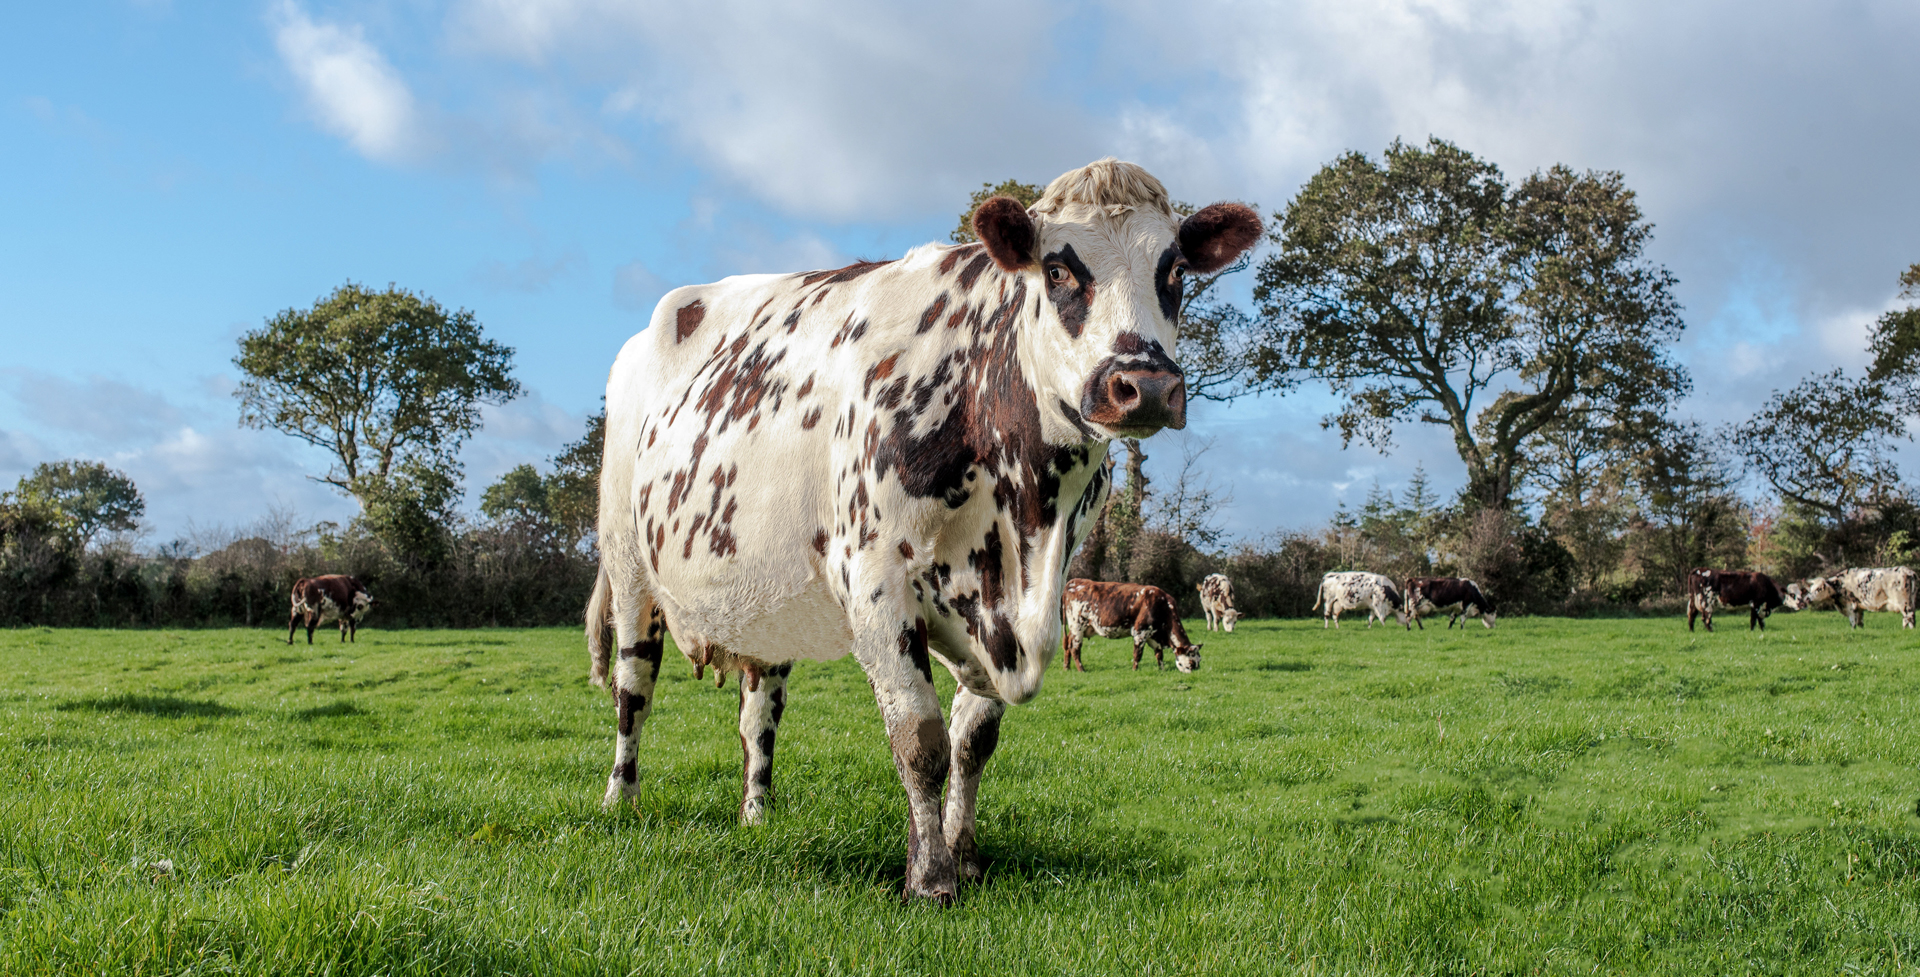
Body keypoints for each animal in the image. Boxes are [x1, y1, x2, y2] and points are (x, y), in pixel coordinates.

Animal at [1061, 578, 1202, 672]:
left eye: (1199, 661)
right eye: (1190, 663)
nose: (1196, 672)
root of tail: (1075, 581)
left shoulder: (1153, 635)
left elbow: (1159, 653)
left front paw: (1161, 669)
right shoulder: (1140, 632)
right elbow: (1137, 653)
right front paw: (1135, 670)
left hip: (1074, 629)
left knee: (1068, 645)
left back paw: (1067, 667)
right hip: (1077, 626)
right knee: (1075, 648)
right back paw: (1081, 669)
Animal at [1784, 567, 1917, 628]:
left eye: (1819, 589)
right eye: (1810, 589)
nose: (1806, 599)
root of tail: (1907, 571)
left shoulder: (1850, 606)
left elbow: (1853, 622)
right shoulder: (1859, 608)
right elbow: (1860, 622)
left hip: (1905, 605)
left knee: (1909, 619)